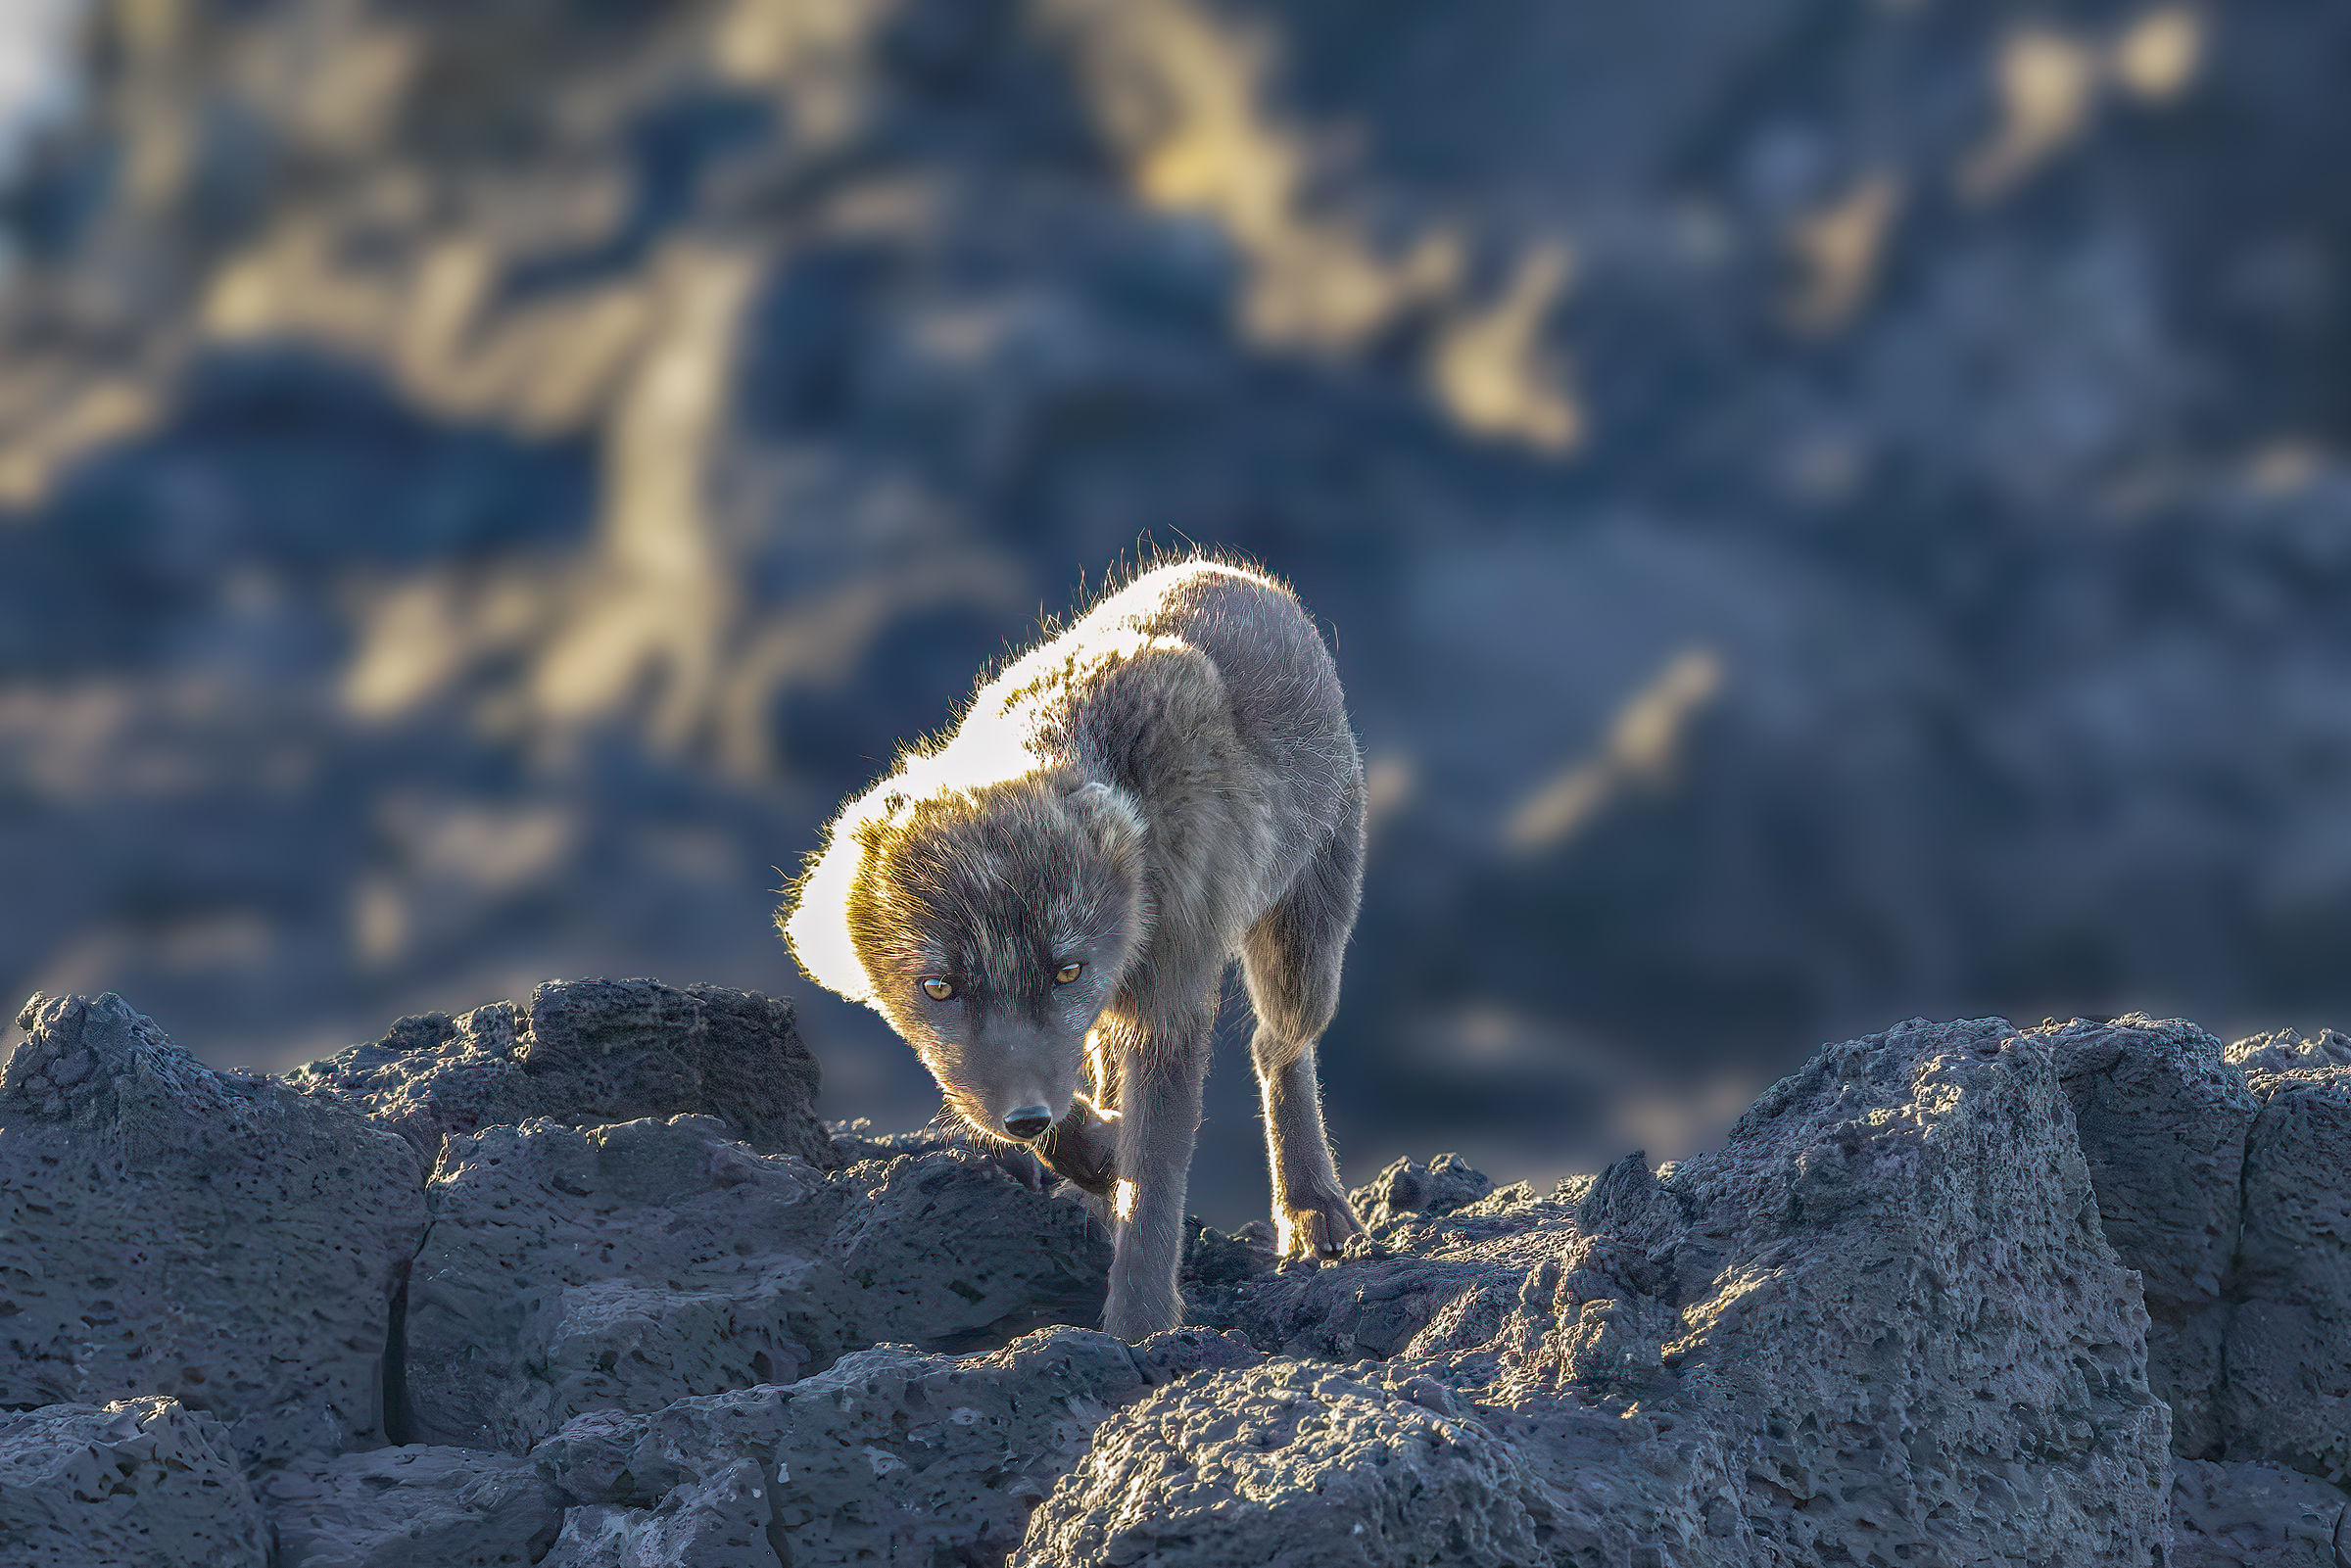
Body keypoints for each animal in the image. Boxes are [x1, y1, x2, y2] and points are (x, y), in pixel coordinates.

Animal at [778, 555, 1369, 1339]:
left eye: (1067, 970)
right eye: (938, 987)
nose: (1025, 1117)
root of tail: (1237, 573)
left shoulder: (1168, 1001)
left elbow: (1154, 1181)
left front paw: (1139, 1327)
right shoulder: (1005, 1059)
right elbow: (1042, 1110)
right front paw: (1093, 1154)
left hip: (1302, 950)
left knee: (1278, 1047)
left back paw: (1309, 1203)